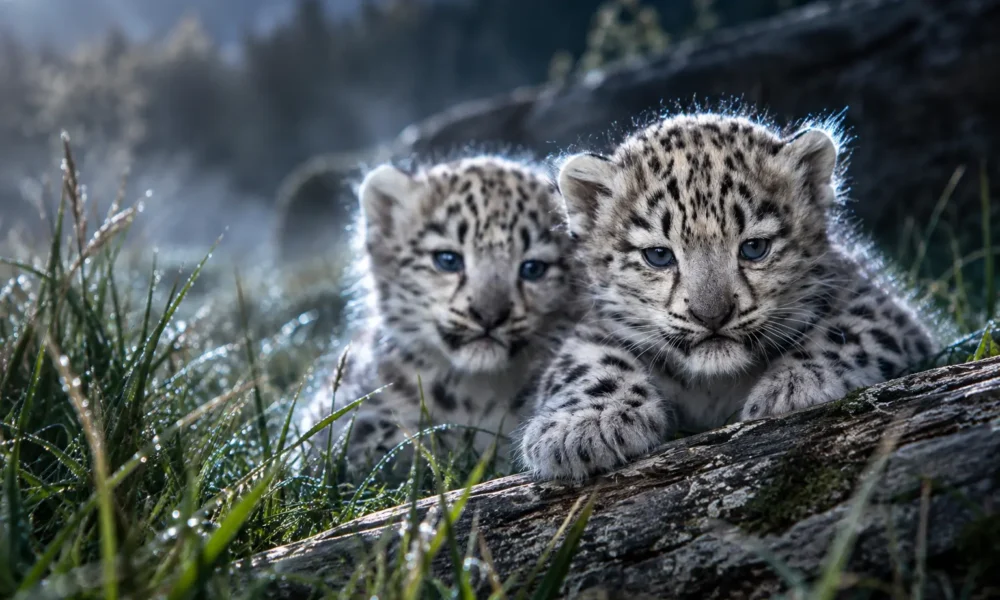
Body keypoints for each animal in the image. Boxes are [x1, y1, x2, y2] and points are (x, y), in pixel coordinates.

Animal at [518, 112, 939, 481]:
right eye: (658, 255)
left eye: (754, 248)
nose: (712, 315)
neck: (713, 387)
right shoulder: (593, 327)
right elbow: (586, 362)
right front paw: (582, 427)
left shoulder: (875, 303)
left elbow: (850, 332)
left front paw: (793, 387)